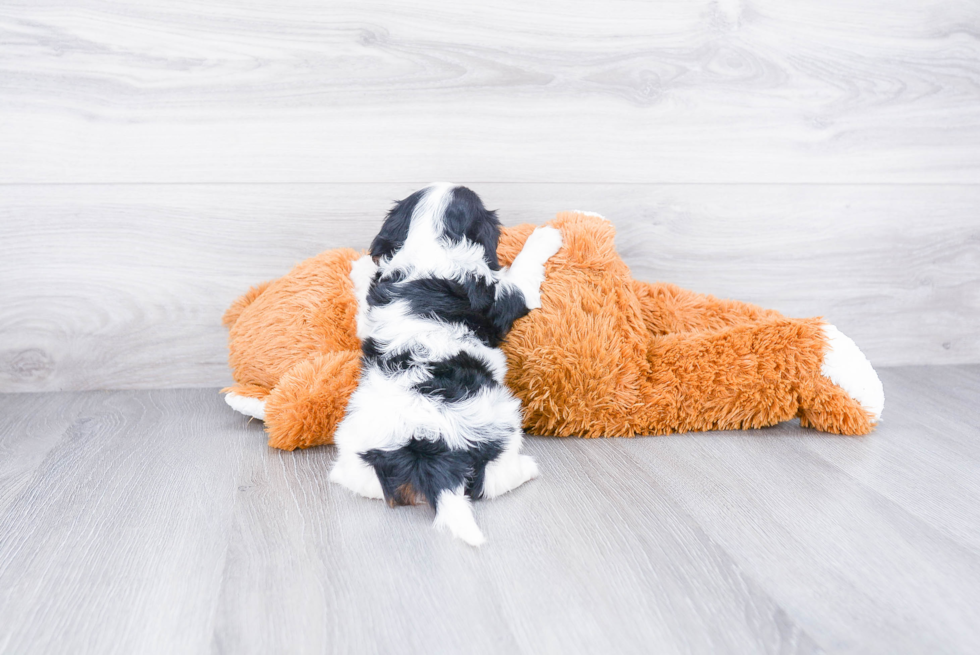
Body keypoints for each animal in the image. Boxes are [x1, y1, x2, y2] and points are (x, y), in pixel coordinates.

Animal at [328, 182, 560, 544]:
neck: (432, 245)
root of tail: (429, 447)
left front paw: (361, 267)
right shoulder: (502, 297)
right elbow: (522, 274)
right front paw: (546, 236)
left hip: (357, 447)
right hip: (501, 426)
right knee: (491, 481)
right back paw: (528, 468)